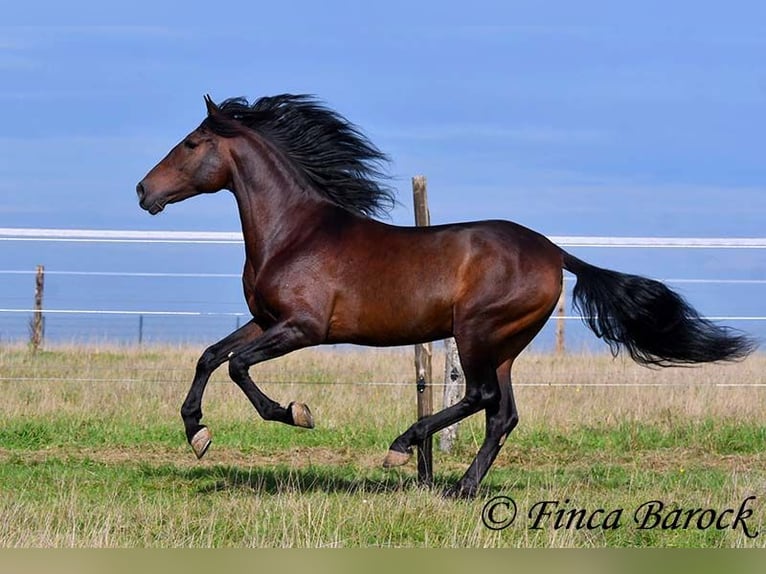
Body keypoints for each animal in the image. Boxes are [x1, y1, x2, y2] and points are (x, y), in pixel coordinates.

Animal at [136, 94, 756, 498]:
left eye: (192, 143)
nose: (143, 190)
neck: (296, 232)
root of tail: (555, 253)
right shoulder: (267, 321)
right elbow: (210, 357)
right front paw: (197, 434)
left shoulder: (303, 328)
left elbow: (238, 366)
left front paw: (295, 413)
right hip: (503, 345)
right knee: (502, 415)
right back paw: (460, 487)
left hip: (477, 332)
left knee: (482, 397)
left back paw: (403, 447)